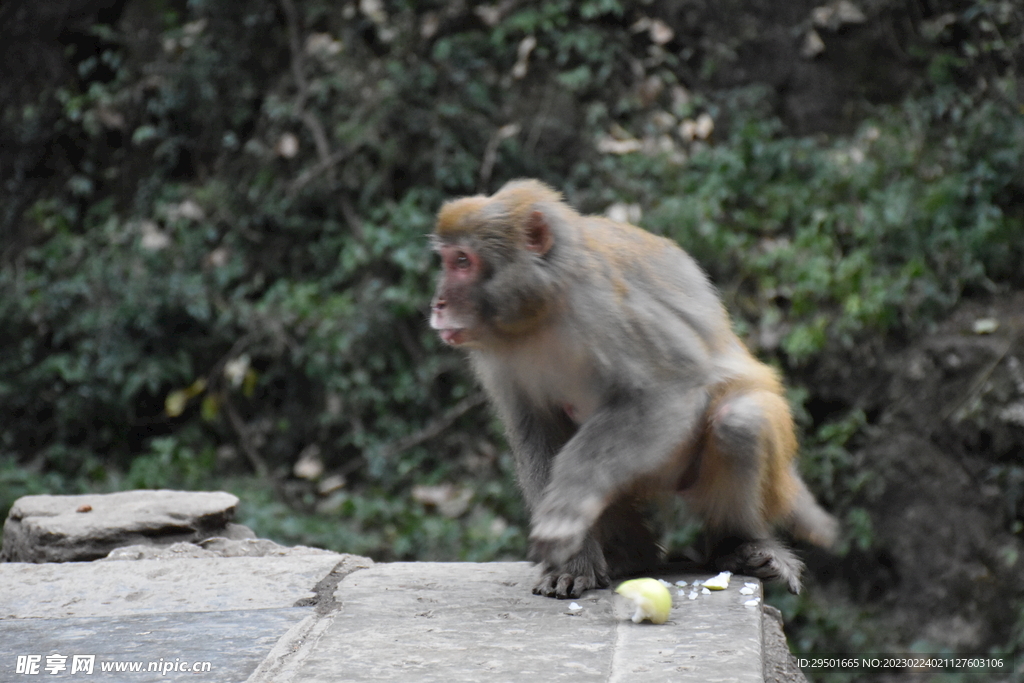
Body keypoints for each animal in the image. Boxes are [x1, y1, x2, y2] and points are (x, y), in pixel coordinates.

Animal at [428, 180, 835, 598]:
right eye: (448, 259)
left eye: (463, 261)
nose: (438, 303)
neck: (543, 310)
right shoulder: (497, 357)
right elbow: (536, 428)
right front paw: (573, 562)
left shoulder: (604, 304)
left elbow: (670, 388)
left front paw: (567, 509)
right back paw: (634, 555)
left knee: (740, 421)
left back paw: (736, 545)